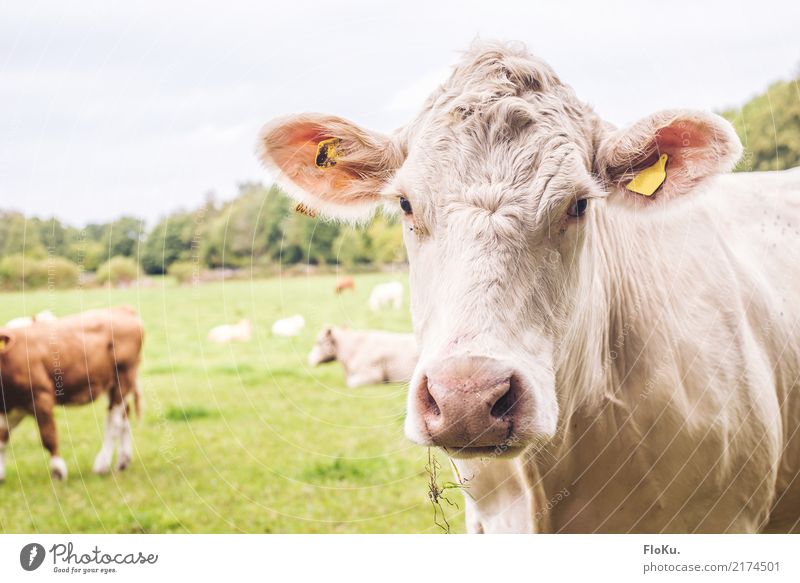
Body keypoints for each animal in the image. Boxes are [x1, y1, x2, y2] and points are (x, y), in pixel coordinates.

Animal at [0, 308, 144, 482]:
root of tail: (122, 308)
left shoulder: (40, 396)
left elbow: (48, 436)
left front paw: (58, 472)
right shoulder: (9, 408)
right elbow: (2, 439)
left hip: (123, 376)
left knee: (114, 422)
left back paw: (102, 464)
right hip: (114, 384)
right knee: (124, 415)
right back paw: (123, 461)